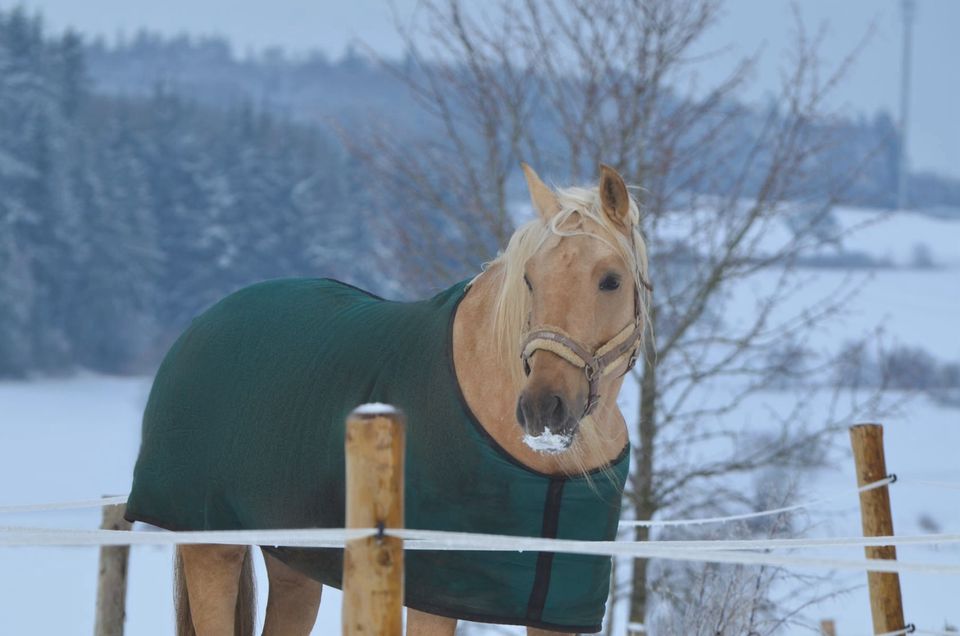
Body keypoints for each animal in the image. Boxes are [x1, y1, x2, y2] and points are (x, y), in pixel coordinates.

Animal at [124, 165, 652, 636]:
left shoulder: (555, 612)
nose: (543, 409)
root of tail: (201, 322)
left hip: (293, 561)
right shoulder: (433, 595)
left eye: (611, 279)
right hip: (211, 546)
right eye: (529, 280)